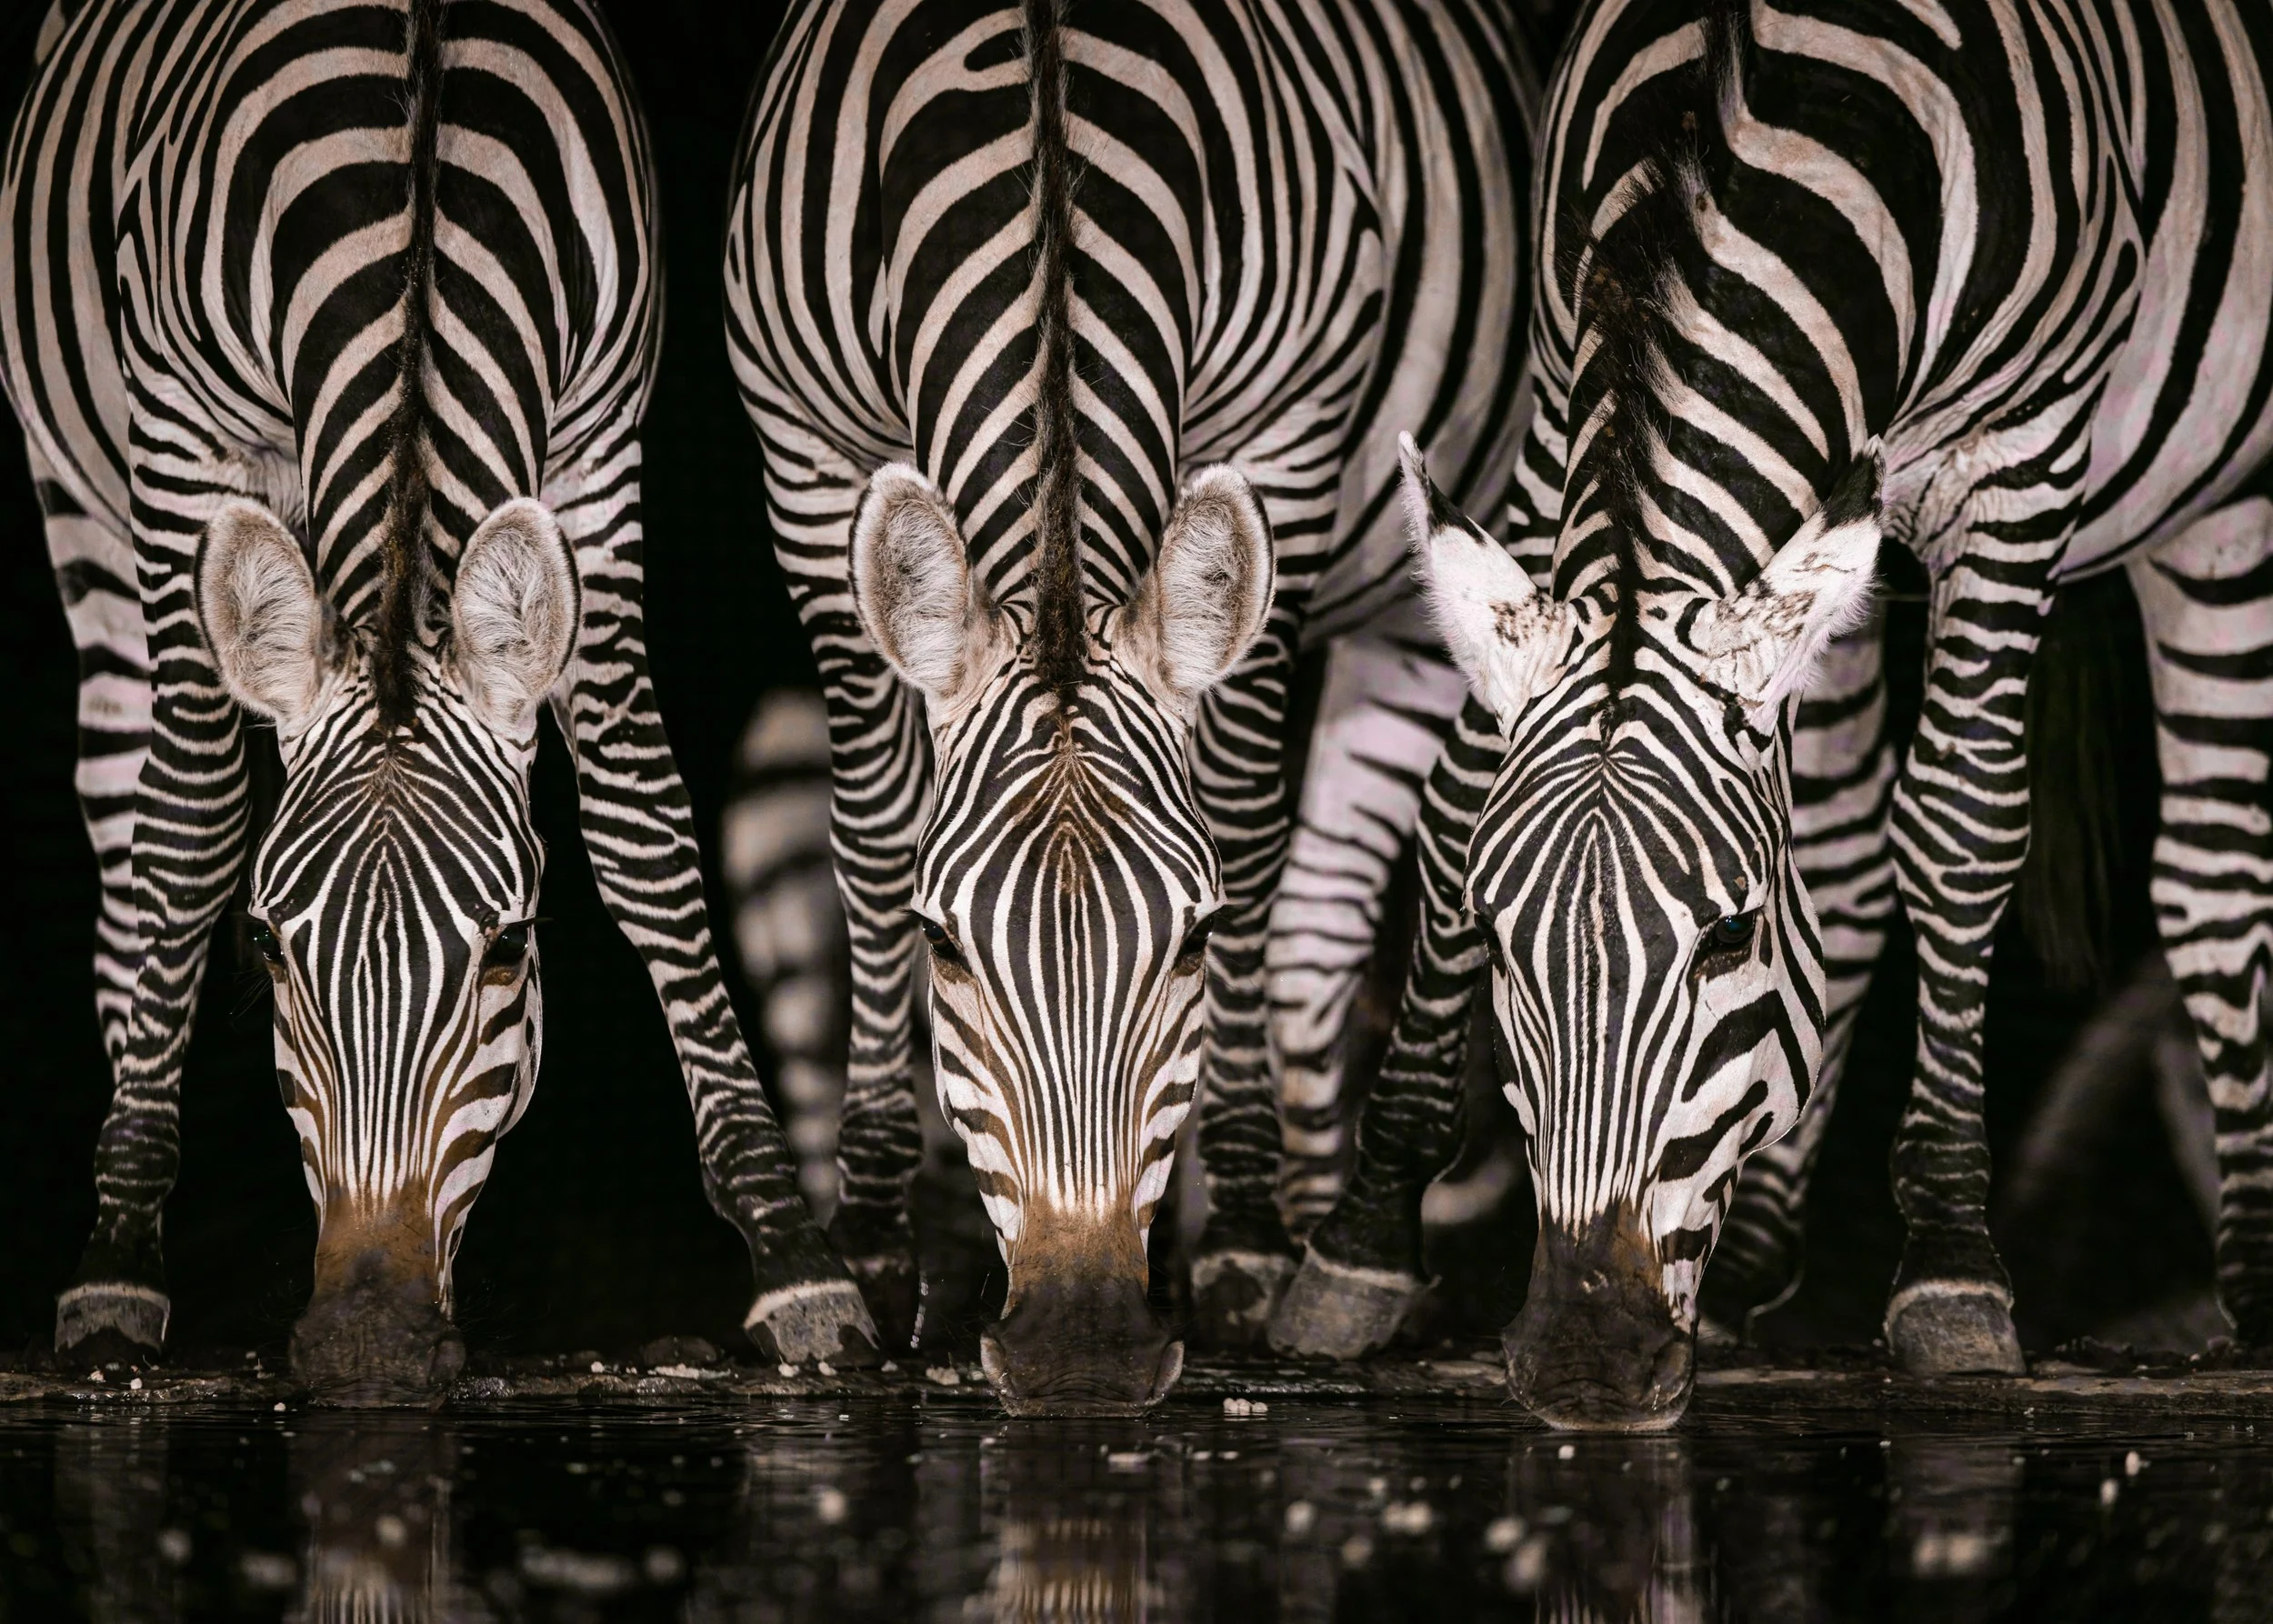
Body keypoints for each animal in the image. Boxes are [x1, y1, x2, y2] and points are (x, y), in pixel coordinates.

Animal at [2, 0, 869, 1398]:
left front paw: (796, 1258)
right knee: (130, 796)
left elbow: (643, 827)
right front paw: (119, 1254)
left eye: (509, 946)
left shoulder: (593, 452)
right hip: (79, 493)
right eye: (272, 948)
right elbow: (189, 828)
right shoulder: (185, 436)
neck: (412, 206)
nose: (368, 1346)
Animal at [726, 0, 1534, 1408]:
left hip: (1423, 575)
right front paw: (870, 1243)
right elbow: (871, 836)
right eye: (942, 945)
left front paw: (1247, 1237)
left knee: (1333, 889)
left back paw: (1329, 1244)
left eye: (1197, 939)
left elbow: (1249, 828)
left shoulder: (1285, 432)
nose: (1084, 1348)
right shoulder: (808, 456)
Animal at [1280, 0, 2273, 1429]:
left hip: (2221, 508)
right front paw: (1360, 1237)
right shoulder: (1564, 396)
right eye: (1500, 937)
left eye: (1727, 939)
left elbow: (1961, 822)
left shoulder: (2019, 462)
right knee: (1852, 862)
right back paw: (1754, 1258)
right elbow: (1464, 785)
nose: (1587, 1364)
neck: (1749, 102)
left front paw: (1952, 1273)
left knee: (2210, 877)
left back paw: (2249, 1265)